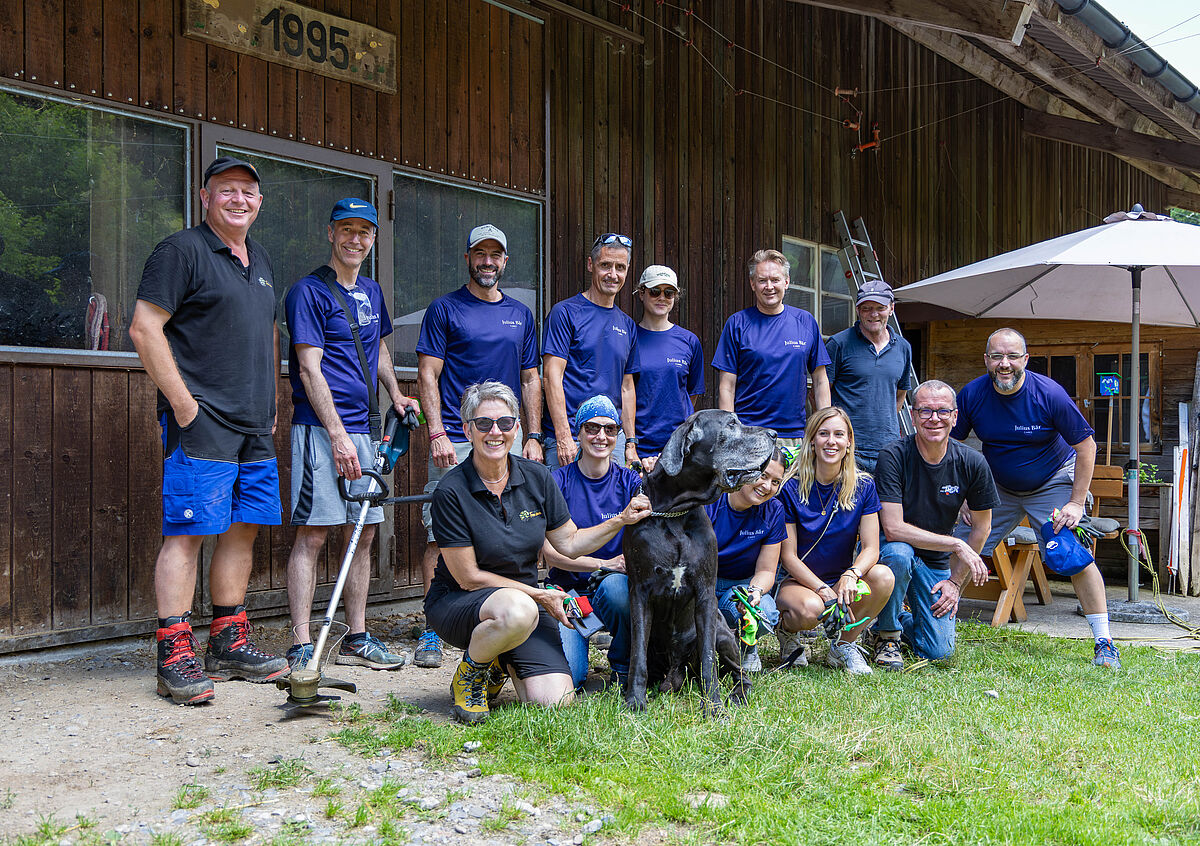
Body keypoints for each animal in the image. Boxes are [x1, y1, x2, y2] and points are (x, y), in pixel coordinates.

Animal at [619, 408, 777, 710]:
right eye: (731, 424)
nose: (775, 434)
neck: (675, 512)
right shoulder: (639, 593)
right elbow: (637, 655)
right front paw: (634, 701)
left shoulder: (705, 594)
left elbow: (708, 661)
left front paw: (713, 707)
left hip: (724, 633)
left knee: (740, 674)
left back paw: (737, 695)